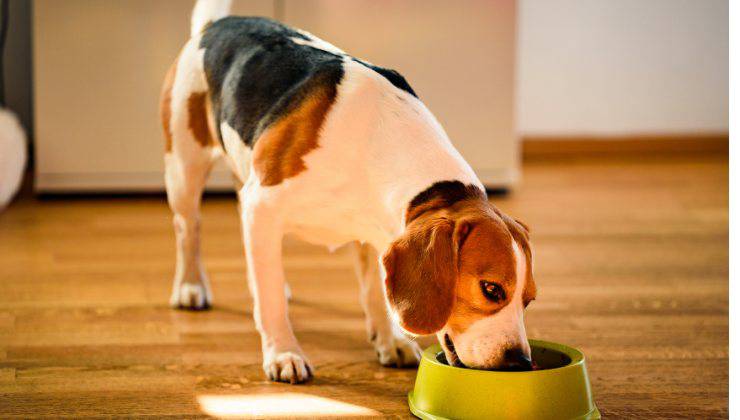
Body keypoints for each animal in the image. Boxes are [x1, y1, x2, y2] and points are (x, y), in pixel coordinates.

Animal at [160, 0, 536, 382]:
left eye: (528, 300)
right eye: (491, 289)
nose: (521, 362)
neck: (377, 140)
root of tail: (216, 25)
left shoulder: (376, 232)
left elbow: (374, 292)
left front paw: (390, 341)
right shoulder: (263, 205)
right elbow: (271, 302)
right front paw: (283, 352)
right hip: (185, 170)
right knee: (188, 229)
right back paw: (191, 286)